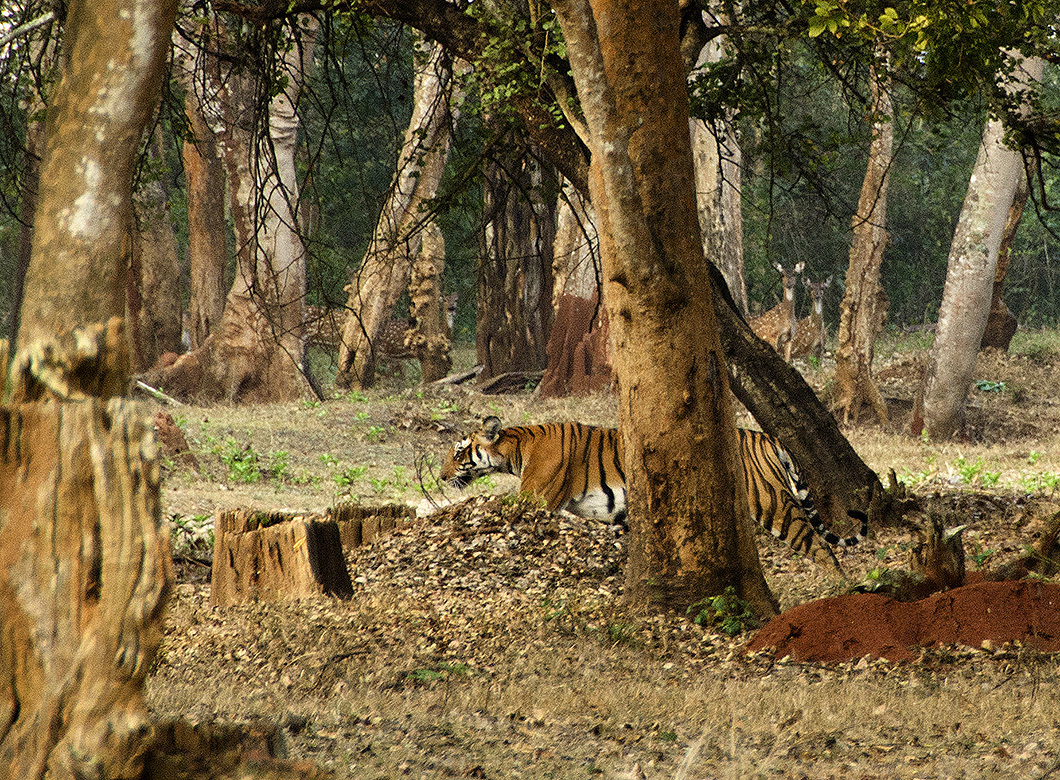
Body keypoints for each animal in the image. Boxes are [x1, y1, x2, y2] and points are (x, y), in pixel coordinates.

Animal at [441, 416, 869, 569]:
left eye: (459, 452)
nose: (443, 476)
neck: (517, 446)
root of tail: (768, 437)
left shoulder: (536, 496)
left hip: (774, 504)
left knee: (821, 547)